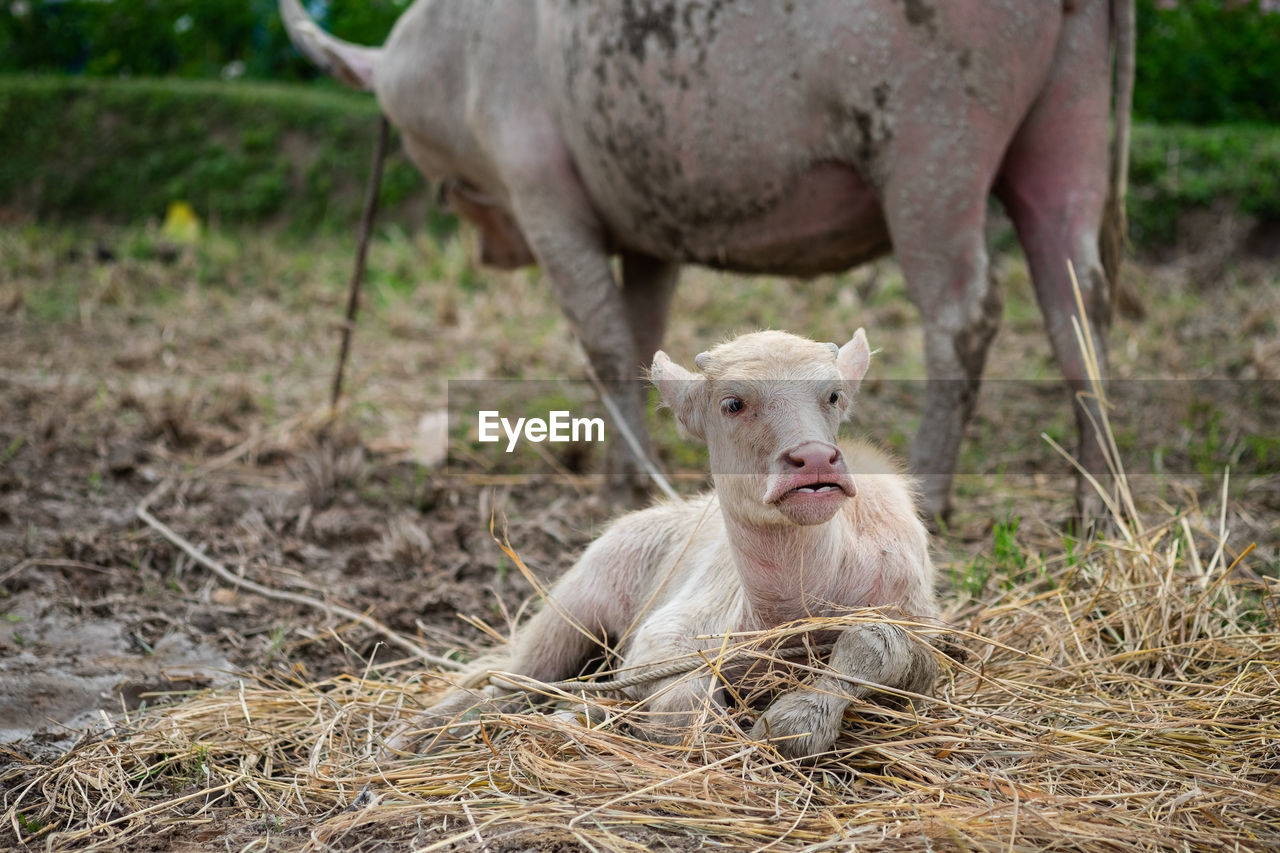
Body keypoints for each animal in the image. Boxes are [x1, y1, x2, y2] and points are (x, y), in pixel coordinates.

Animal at [280, 0, 1131, 522]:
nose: (487, 249)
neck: (453, 59)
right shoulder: (648, 234)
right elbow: (643, 333)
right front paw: (621, 476)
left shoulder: (541, 190)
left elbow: (603, 342)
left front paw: (621, 487)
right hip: (1071, 112)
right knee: (1079, 299)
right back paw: (1094, 504)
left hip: (933, 141)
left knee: (964, 313)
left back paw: (930, 489)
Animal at [399, 327, 942, 753]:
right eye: (732, 403)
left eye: (833, 396)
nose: (813, 459)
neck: (795, 609)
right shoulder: (667, 635)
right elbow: (680, 696)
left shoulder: (924, 635)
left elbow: (877, 643)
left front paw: (797, 721)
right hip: (569, 607)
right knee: (512, 677)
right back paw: (421, 732)